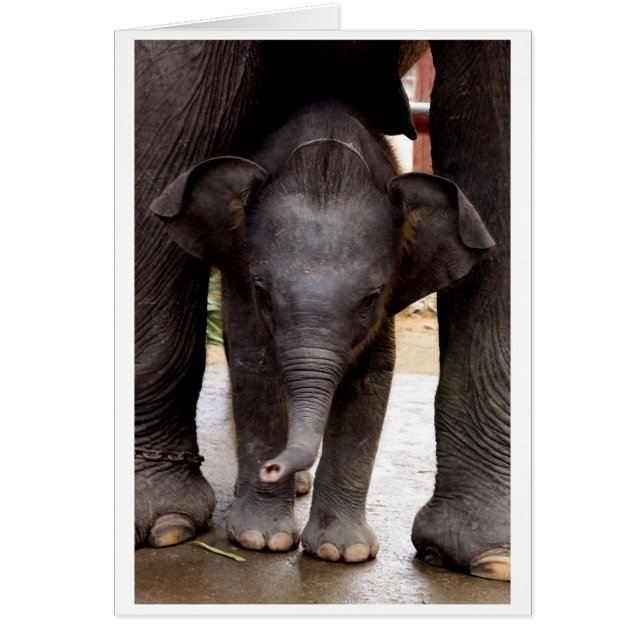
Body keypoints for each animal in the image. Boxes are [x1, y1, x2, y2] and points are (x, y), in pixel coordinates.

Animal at [134, 40, 511, 579]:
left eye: (371, 298)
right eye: (264, 292)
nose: (275, 465)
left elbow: (371, 381)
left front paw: (342, 553)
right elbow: (256, 368)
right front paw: (260, 540)